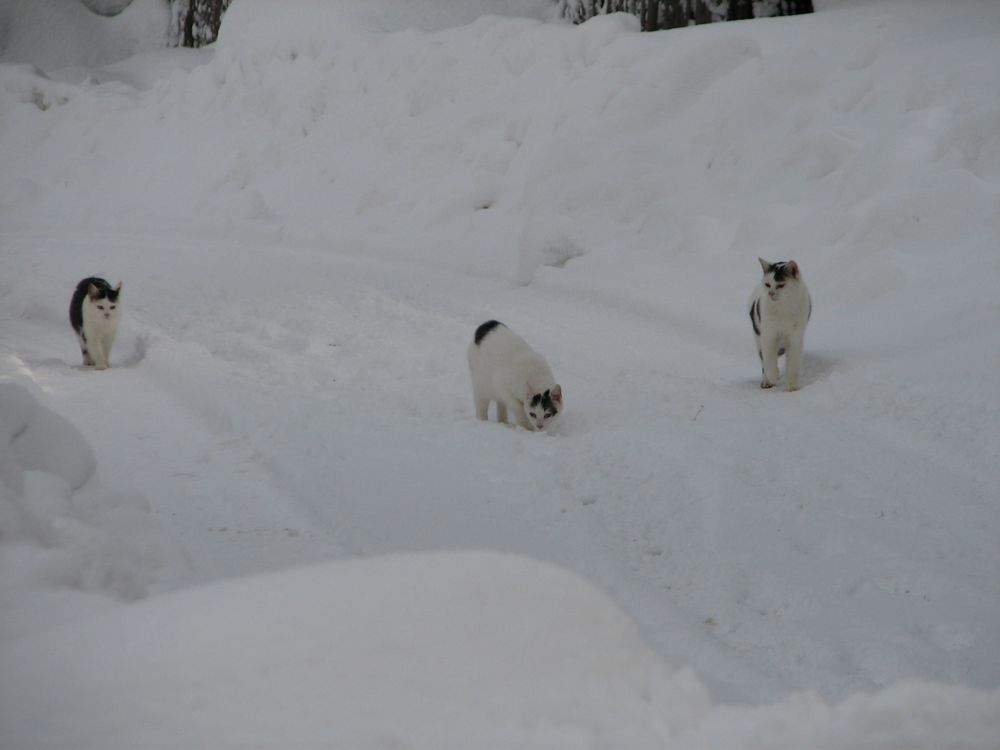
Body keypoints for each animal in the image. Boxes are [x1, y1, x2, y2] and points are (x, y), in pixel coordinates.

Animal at [752, 260, 812, 394]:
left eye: (780, 285)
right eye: (768, 284)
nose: (770, 293)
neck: (784, 309)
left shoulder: (795, 338)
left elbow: (793, 362)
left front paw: (792, 386)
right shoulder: (769, 334)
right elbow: (769, 359)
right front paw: (773, 376)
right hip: (759, 335)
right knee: (764, 359)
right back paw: (767, 381)